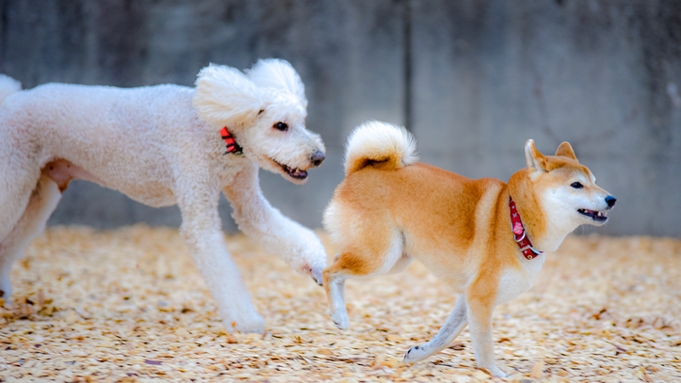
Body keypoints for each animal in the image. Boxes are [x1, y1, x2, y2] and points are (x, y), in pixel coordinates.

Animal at [322, 121, 612, 376]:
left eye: (595, 181)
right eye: (577, 185)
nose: (612, 198)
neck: (516, 220)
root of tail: (358, 170)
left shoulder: (469, 296)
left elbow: (444, 337)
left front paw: (417, 354)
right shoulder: (481, 297)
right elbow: (484, 345)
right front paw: (496, 373)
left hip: (393, 260)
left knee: (336, 266)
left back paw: (339, 311)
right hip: (380, 257)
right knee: (328, 271)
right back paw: (339, 314)